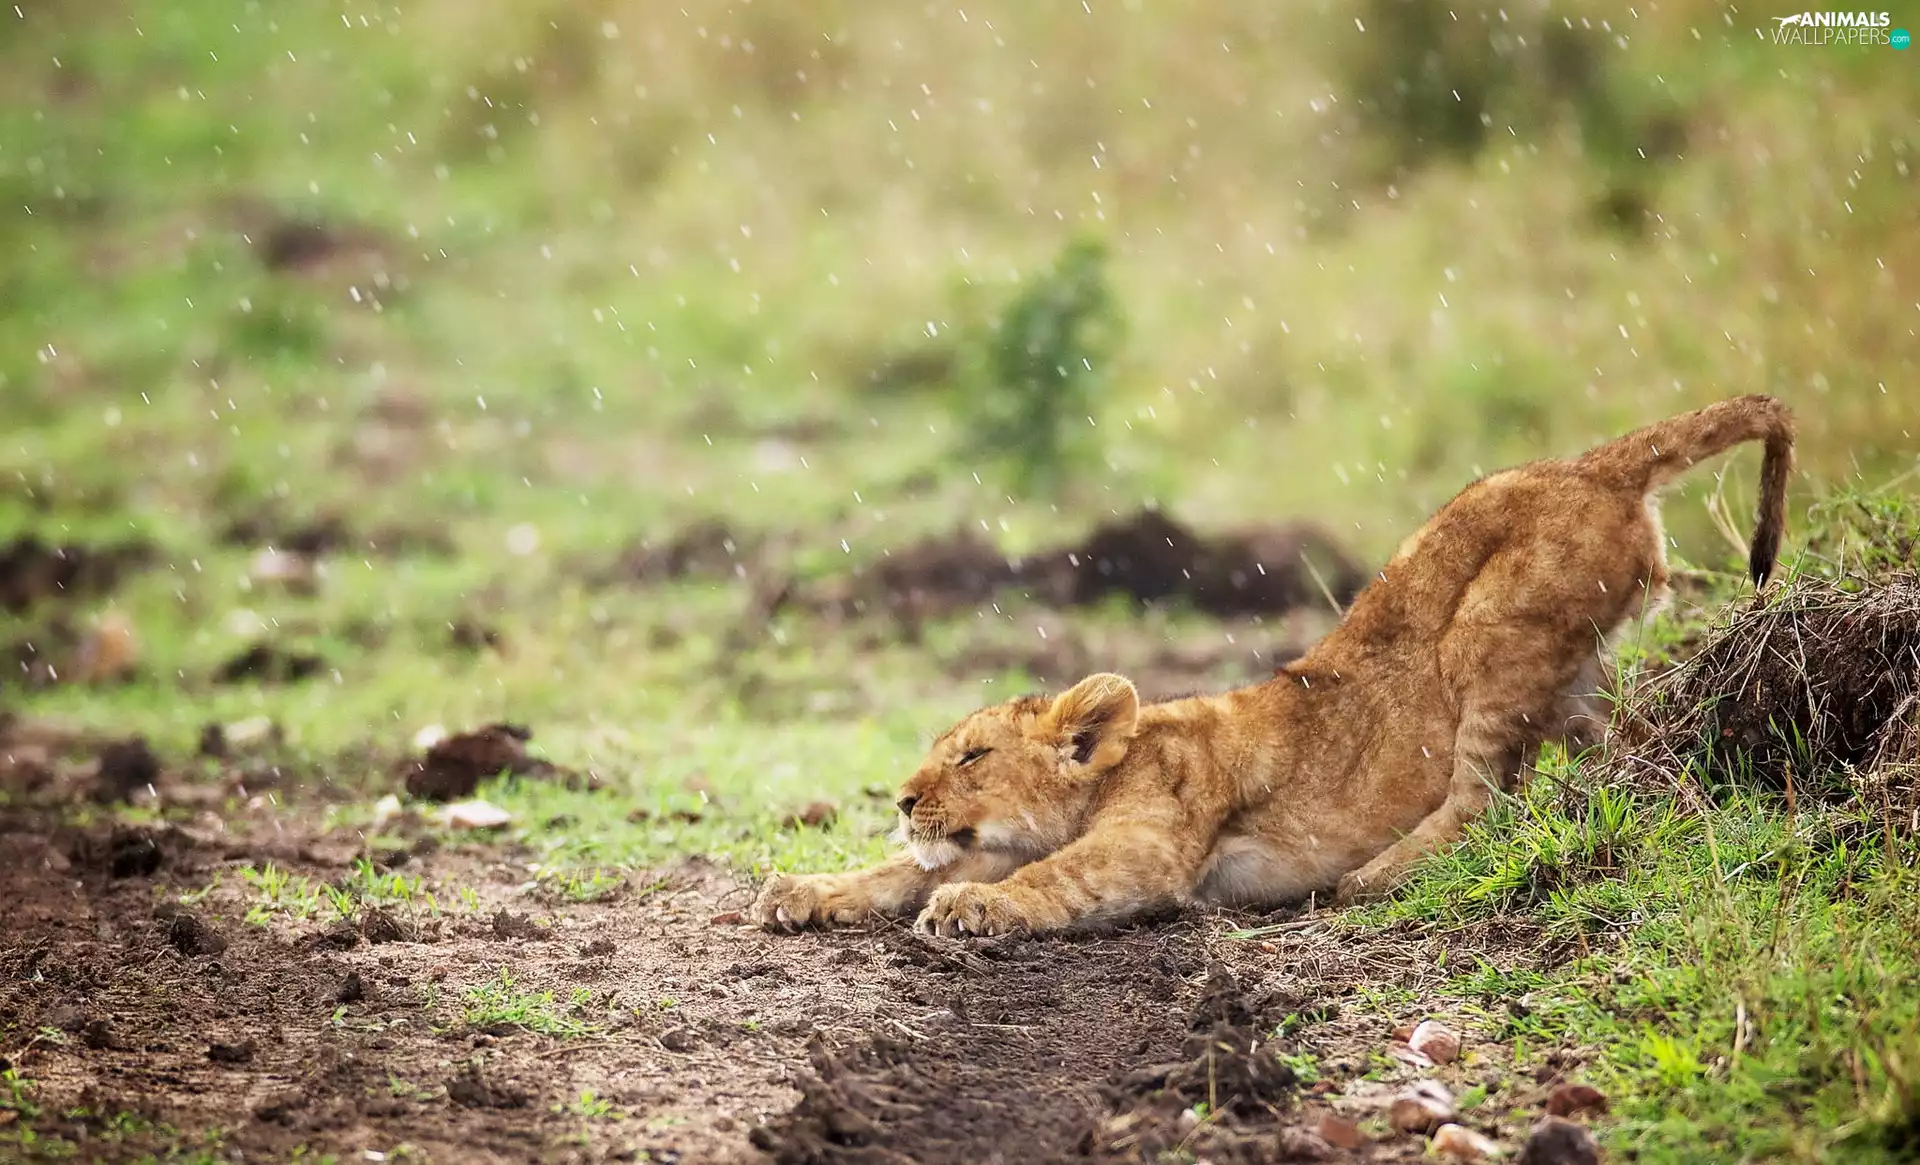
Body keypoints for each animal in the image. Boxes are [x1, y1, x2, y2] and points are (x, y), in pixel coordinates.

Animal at [751, 395, 1795, 937]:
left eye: (971, 758)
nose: (900, 798)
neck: (1114, 771)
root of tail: (1593, 464)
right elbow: (894, 871)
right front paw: (804, 889)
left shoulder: (1151, 846)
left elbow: (1050, 878)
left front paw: (970, 904)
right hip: (1576, 672)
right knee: (1616, 745)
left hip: (1491, 629)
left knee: (1481, 795)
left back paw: (1370, 879)